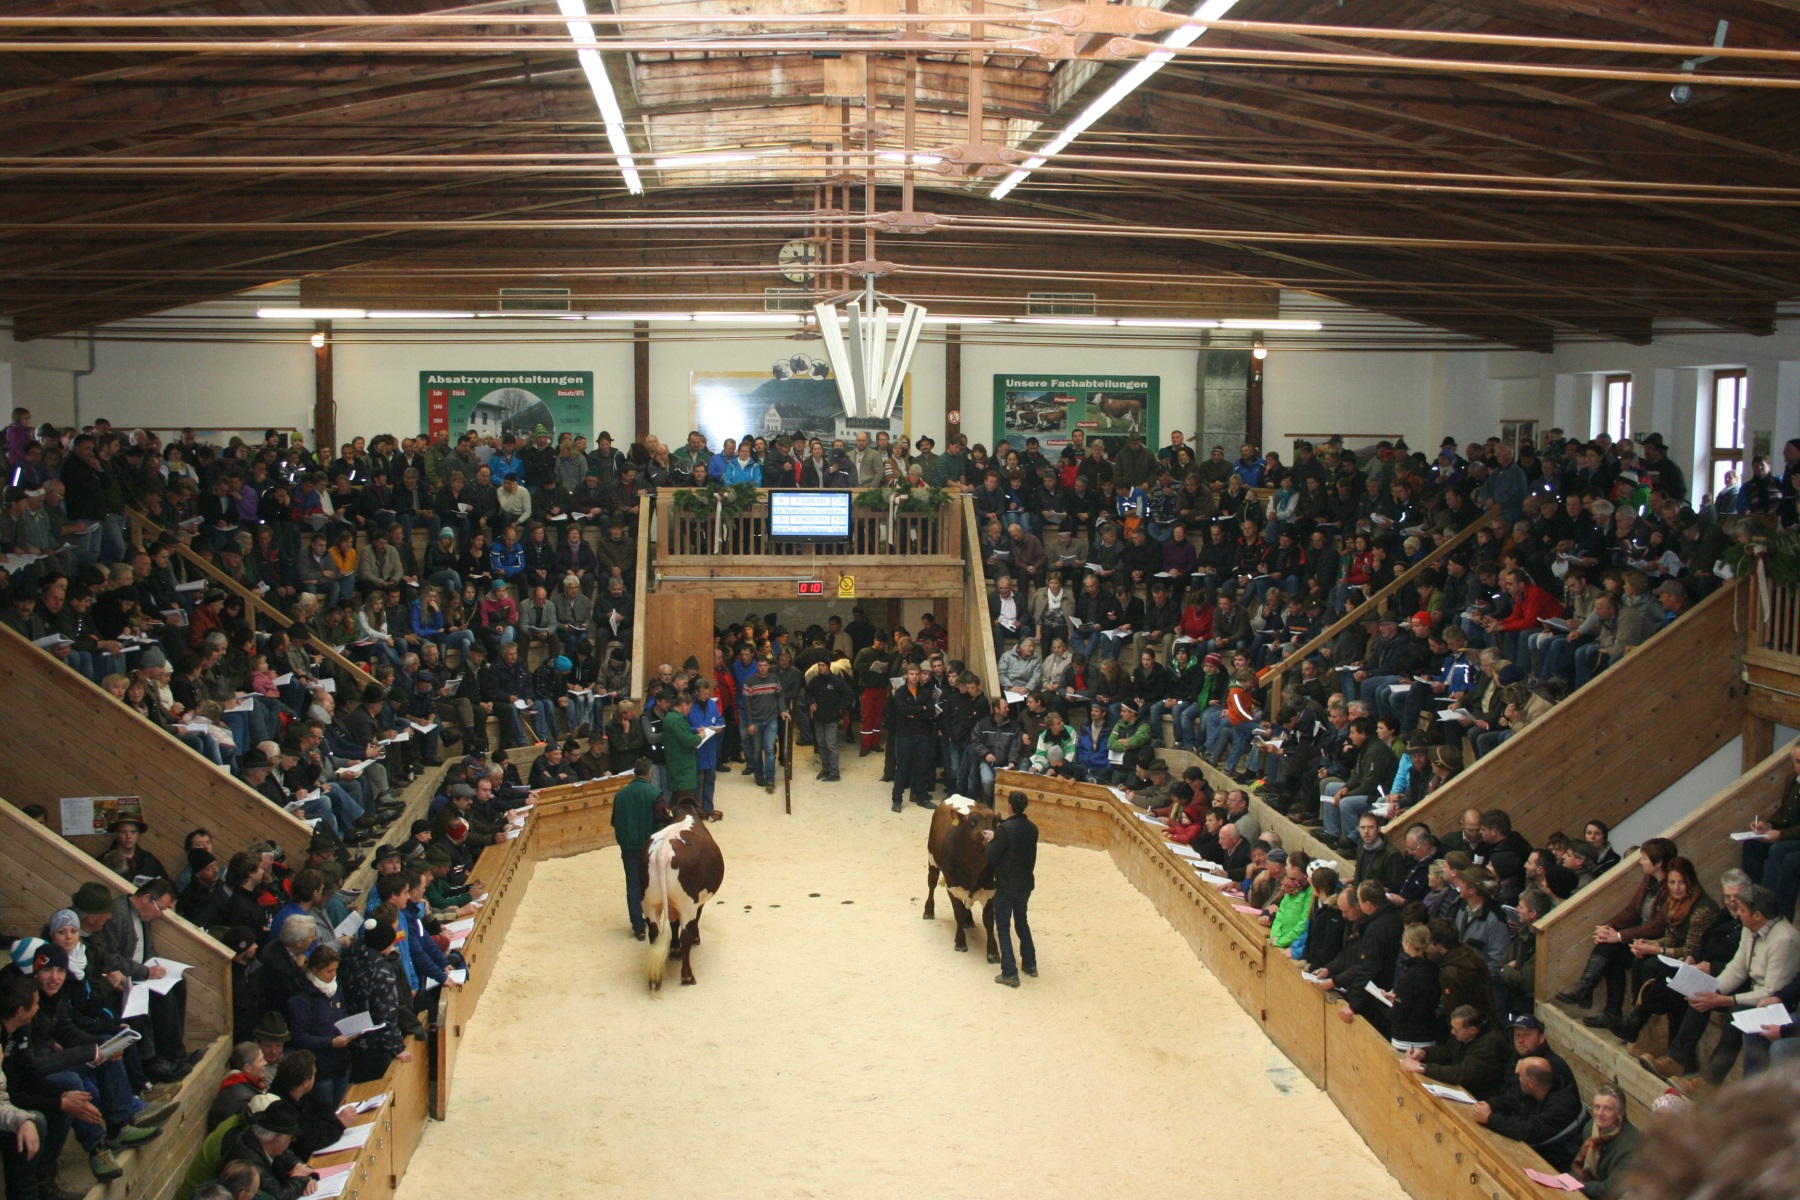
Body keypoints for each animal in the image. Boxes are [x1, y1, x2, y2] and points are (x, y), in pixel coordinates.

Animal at [644, 802, 720, 993]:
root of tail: (663, 851)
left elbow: (673, 924)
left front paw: (674, 949)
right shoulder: (698, 901)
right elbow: (694, 920)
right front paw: (695, 939)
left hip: (649, 903)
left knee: (654, 933)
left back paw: (655, 980)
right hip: (687, 903)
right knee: (685, 933)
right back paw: (687, 976)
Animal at [921, 798, 1008, 964]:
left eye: (995, 822)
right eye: (972, 822)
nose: (989, 836)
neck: (974, 868)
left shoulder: (989, 890)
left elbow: (988, 920)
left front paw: (993, 952)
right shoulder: (952, 887)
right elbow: (958, 913)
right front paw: (960, 942)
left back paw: (969, 920)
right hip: (931, 858)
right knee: (931, 884)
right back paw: (928, 911)